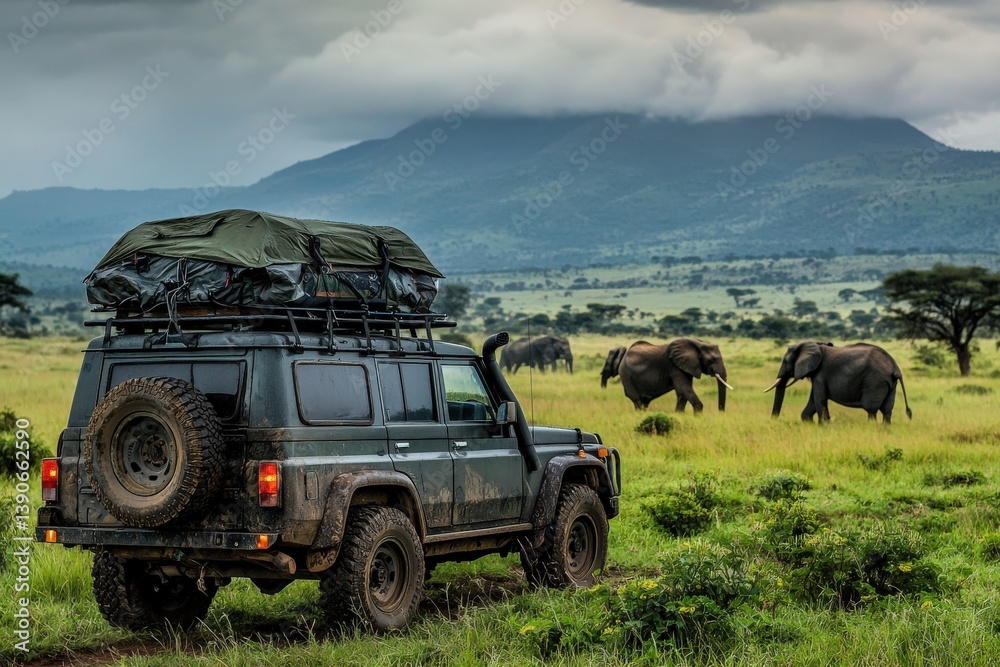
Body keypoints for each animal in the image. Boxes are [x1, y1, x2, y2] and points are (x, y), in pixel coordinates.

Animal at [764, 341, 912, 424]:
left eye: (785, 361)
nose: (774, 420)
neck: (816, 345)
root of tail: (895, 367)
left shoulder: (821, 373)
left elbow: (819, 399)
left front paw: (824, 426)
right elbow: (814, 400)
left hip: (875, 382)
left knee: (871, 409)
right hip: (890, 384)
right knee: (887, 410)